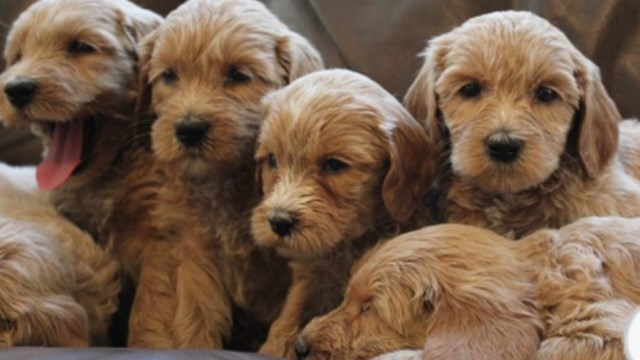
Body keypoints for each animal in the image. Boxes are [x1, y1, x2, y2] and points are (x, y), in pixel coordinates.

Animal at [126, 0, 324, 348]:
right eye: (169, 76)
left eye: (238, 75)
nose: (189, 129)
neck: (227, 183)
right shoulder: (195, 251)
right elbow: (197, 318)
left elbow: (290, 319)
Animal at [250, 68, 436, 358]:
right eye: (271, 160)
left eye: (334, 165)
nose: (278, 222)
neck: (348, 243)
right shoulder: (309, 272)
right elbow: (291, 312)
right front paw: (277, 345)